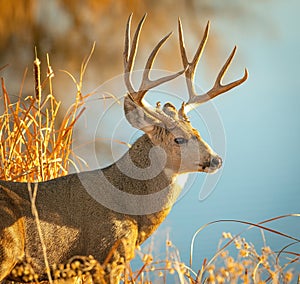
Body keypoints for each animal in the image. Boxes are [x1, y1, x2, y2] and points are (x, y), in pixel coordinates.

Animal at [0, 14, 247, 282]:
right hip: (6, 251)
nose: (216, 159)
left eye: (197, 131)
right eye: (178, 139)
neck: (131, 209)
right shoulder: (108, 255)